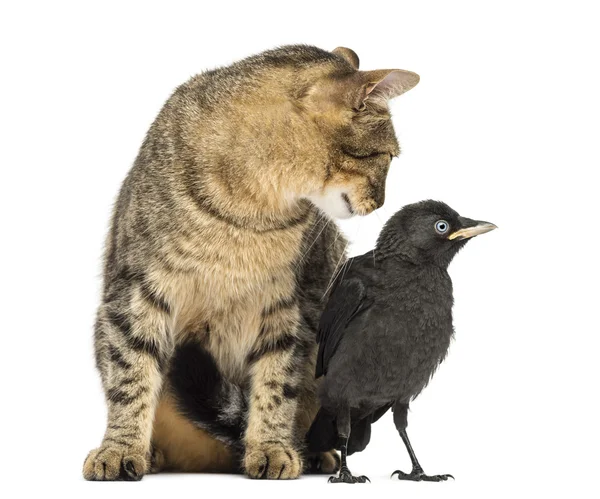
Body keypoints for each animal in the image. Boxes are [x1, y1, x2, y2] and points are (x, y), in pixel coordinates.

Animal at [84, 45, 420, 482]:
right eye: (385, 156)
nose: (380, 203)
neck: (252, 207)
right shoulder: (137, 291)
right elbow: (129, 378)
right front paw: (120, 448)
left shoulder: (289, 308)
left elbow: (277, 386)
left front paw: (272, 447)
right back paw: (154, 453)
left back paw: (315, 454)